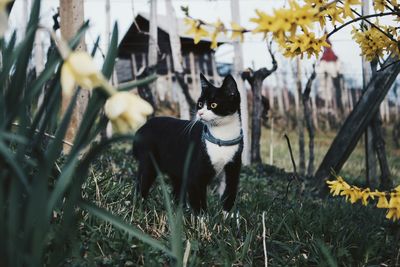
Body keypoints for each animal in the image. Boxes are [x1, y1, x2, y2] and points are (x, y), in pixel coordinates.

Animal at [133, 74, 242, 215]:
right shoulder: (195, 174)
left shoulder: (233, 169)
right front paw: (202, 219)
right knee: (142, 184)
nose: (200, 113)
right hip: (148, 161)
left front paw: (226, 217)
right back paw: (140, 208)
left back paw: (179, 211)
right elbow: (198, 200)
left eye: (213, 104)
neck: (221, 140)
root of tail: (143, 127)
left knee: (177, 189)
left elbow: (230, 194)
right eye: (200, 104)